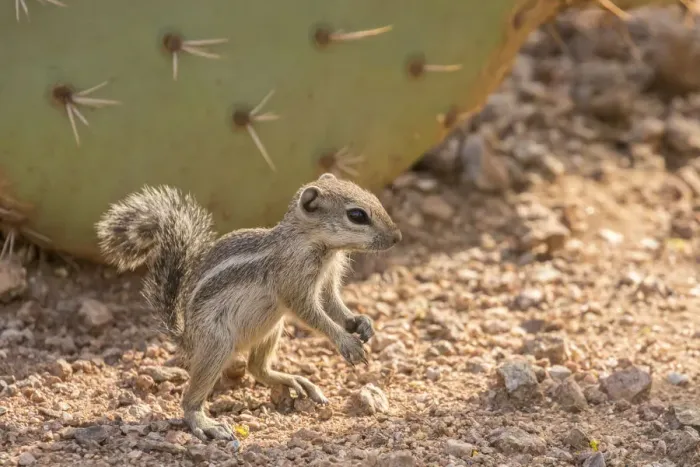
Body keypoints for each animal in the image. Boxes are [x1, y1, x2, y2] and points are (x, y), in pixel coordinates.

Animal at [94, 172, 402, 441]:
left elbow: (333, 303)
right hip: (217, 343)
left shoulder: (327, 279)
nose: (397, 237)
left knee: (256, 368)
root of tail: (186, 339)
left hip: (272, 328)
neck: (315, 243)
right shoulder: (293, 282)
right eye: (357, 215)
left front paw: (360, 323)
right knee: (191, 399)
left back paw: (293, 381)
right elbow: (311, 313)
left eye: (374, 198)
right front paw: (346, 341)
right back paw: (205, 423)